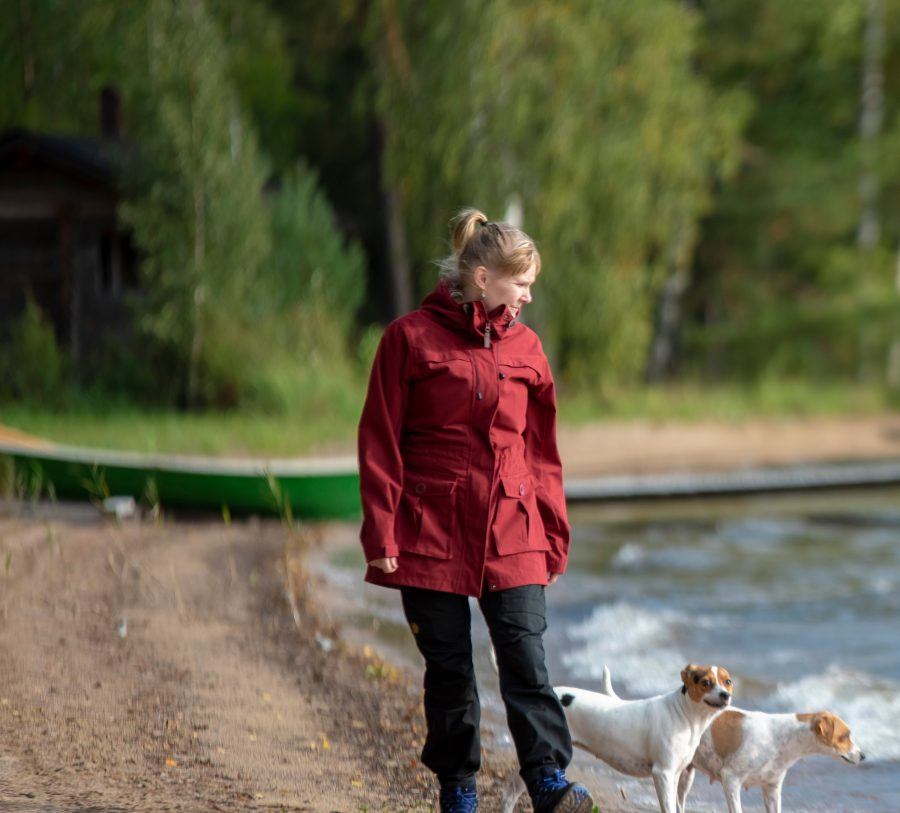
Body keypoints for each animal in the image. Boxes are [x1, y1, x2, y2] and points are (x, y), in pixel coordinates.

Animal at [500, 664, 732, 812]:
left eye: (727, 681)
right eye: (706, 682)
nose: (726, 695)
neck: (684, 714)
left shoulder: (675, 775)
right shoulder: (663, 774)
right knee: (509, 794)